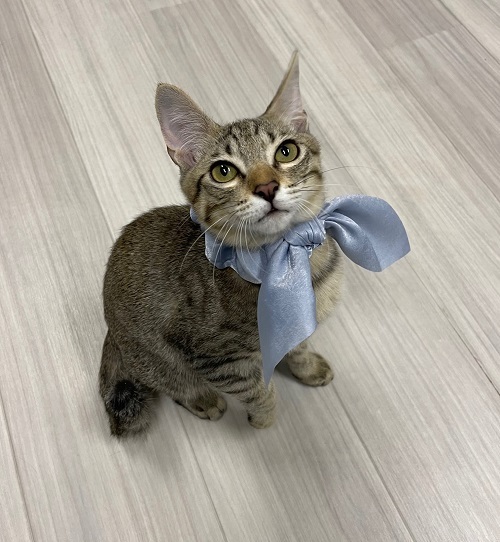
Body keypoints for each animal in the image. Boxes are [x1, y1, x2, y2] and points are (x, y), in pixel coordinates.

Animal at [99, 52, 343, 437]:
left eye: (287, 152)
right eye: (223, 172)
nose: (267, 187)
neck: (290, 263)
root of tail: (111, 329)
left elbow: (299, 346)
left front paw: (306, 366)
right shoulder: (214, 357)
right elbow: (258, 389)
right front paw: (264, 418)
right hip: (155, 357)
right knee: (173, 383)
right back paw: (203, 400)